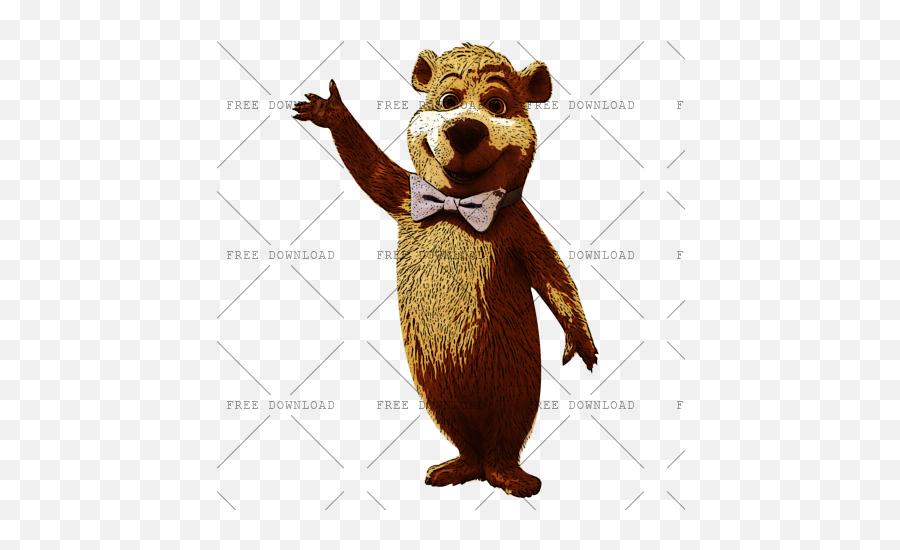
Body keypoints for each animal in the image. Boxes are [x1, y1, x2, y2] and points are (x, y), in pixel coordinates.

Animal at [294, 43, 597, 498]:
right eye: (448, 100)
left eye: (497, 104)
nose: (466, 130)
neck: (457, 206)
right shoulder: (404, 194)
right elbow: (371, 170)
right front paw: (329, 109)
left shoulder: (521, 225)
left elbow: (553, 275)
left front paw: (582, 344)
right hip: (435, 384)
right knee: (458, 429)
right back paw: (455, 468)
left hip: (517, 378)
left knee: (510, 426)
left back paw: (512, 477)